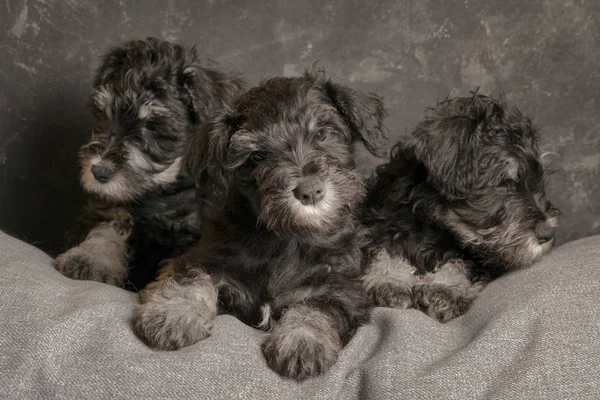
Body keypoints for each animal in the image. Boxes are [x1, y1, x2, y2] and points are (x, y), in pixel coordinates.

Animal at [53, 38, 244, 290]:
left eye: (153, 126)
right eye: (105, 115)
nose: (98, 171)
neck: (160, 193)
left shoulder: (196, 234)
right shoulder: (112, 209)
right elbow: (105, 231)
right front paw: (89, 258)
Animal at [134, 72, 390, 382]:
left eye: (323, 134)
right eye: (257, 156)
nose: (310, 191)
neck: (288, 238)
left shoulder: (344, 288)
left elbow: (319, 307)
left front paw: (302, 342)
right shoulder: (210, 257)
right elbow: (194, 276)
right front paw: (173, 313)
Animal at [360, 94, 564, 322]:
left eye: (539, 180)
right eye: (504, 183)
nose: (548, 233)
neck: (435, 225)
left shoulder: (481, 258)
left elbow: (459, 265)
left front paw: (444, 289)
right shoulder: (379, 228)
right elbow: (385, 252)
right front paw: (390, 281)